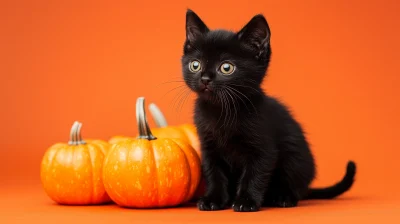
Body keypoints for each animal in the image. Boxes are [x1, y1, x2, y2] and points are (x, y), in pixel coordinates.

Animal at [181, 8, 356, 212]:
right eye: (195, 64)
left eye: (226, 67)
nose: (205, 79)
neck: (222, 111)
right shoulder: (208, 146)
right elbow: (214, 173)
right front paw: (213, 199)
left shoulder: (264, 148)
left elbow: (254, 175)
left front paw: (246, 201)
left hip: (297, 161)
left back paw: (283, 197)